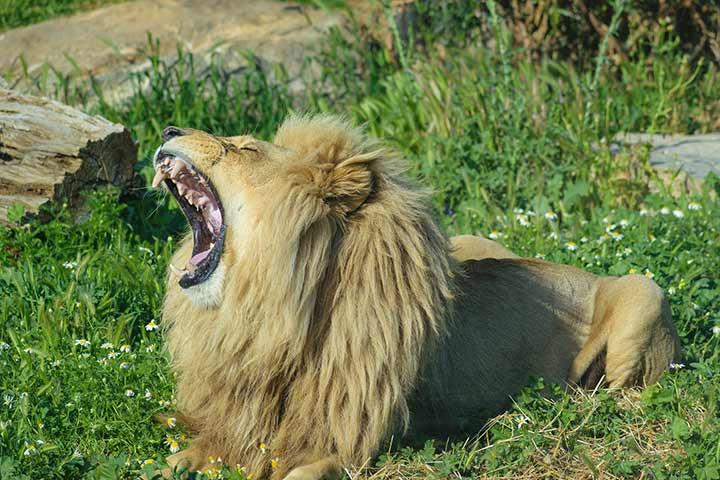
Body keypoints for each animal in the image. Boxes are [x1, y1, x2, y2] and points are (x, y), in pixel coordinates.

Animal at [153, 114, 680, 478]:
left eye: (242, 147)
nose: (169, 127)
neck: (269, 315)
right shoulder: (240, 419)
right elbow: (189, 454)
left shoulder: (354, 442)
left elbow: (300, 471)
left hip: (644, 293)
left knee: (625, 394)